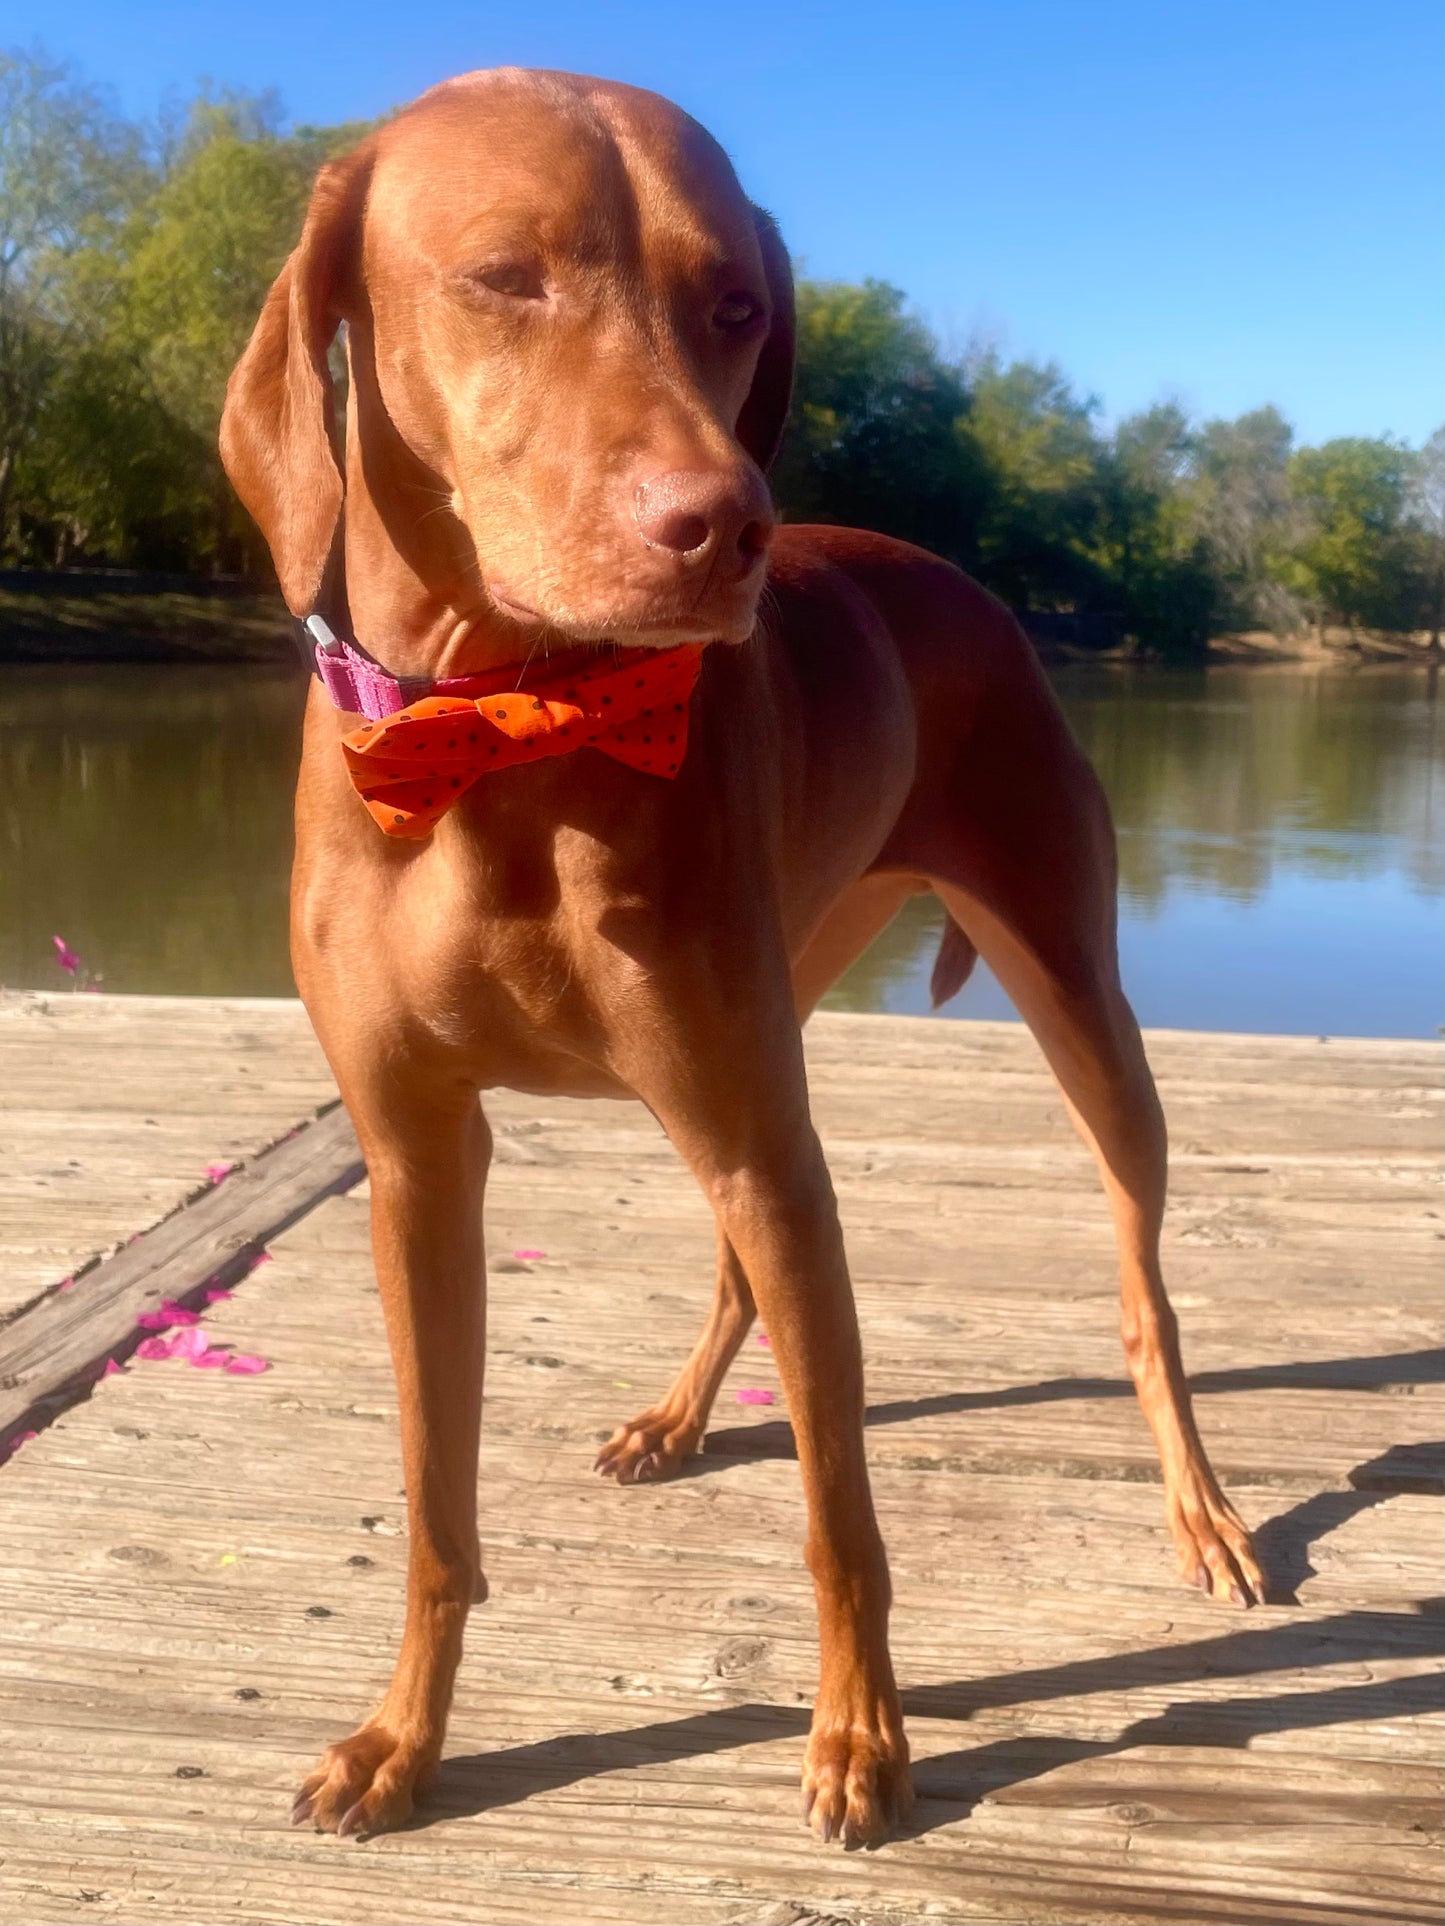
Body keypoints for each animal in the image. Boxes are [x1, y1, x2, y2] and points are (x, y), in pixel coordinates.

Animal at [220, 71, 1271, 1848]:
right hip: (761, 1058)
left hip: (1068, 1003)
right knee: (733, 1258)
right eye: (504, 277)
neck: (510, 727)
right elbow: (435, 1506)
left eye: (735, 305)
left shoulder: (764, 1143)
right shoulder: (414, 1159)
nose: (727, 530)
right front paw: (402, 1739)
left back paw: (1197, 1501)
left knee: (1141, 1286)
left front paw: (862, 1736)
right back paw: (678, 1414)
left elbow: (842, 1511)